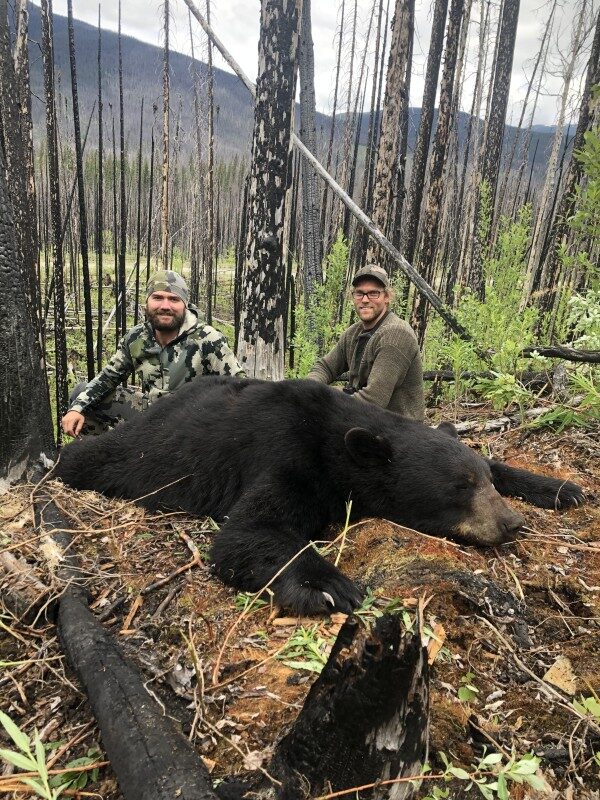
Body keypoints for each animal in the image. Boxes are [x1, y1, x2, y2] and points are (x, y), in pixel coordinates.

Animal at [54, 376, 585, 615]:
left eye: (483, 480)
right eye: (459, 486)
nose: (511, 523)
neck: (337, 442)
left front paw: (563, 488)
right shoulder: (285, 453)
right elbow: (249, 530)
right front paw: (329, 584)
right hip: (140, 450)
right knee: (89, 457)